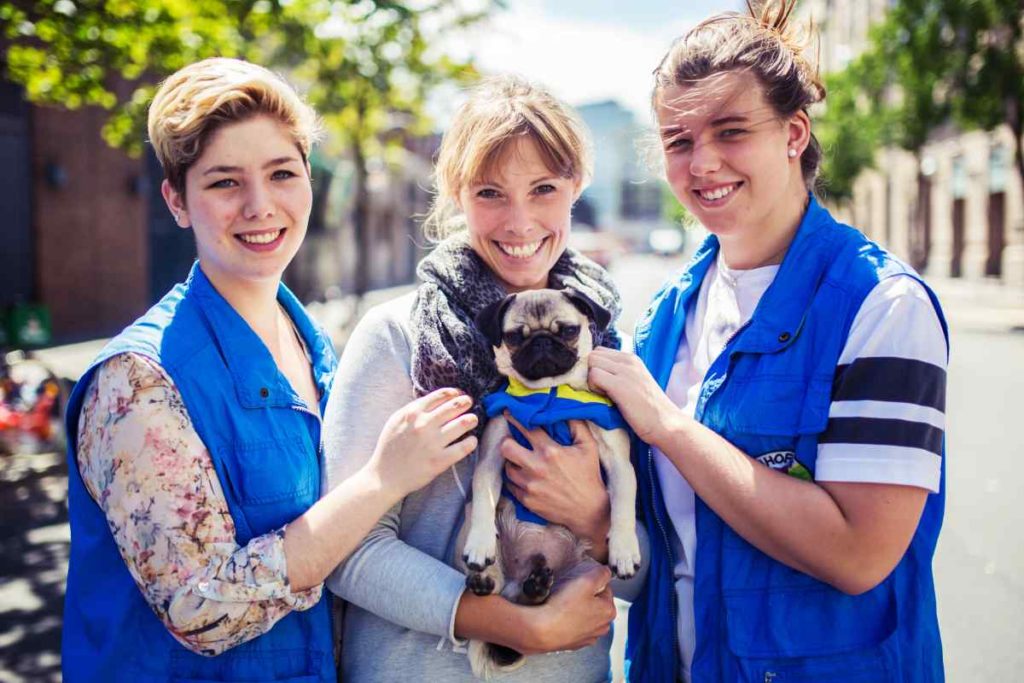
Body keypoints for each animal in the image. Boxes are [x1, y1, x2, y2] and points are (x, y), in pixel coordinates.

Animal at [456, 286, 638, 679]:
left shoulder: (619, 461)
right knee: (497, 583)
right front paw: (480, 542)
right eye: (514, 337)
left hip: (588, 570)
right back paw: (487, 579)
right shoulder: (492, 455)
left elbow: (623, 506)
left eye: (567, 330)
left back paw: (537, 587)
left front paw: (624, 548)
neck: (551, 395)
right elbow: (483, 497)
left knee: (536, 599)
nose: (541, 342)